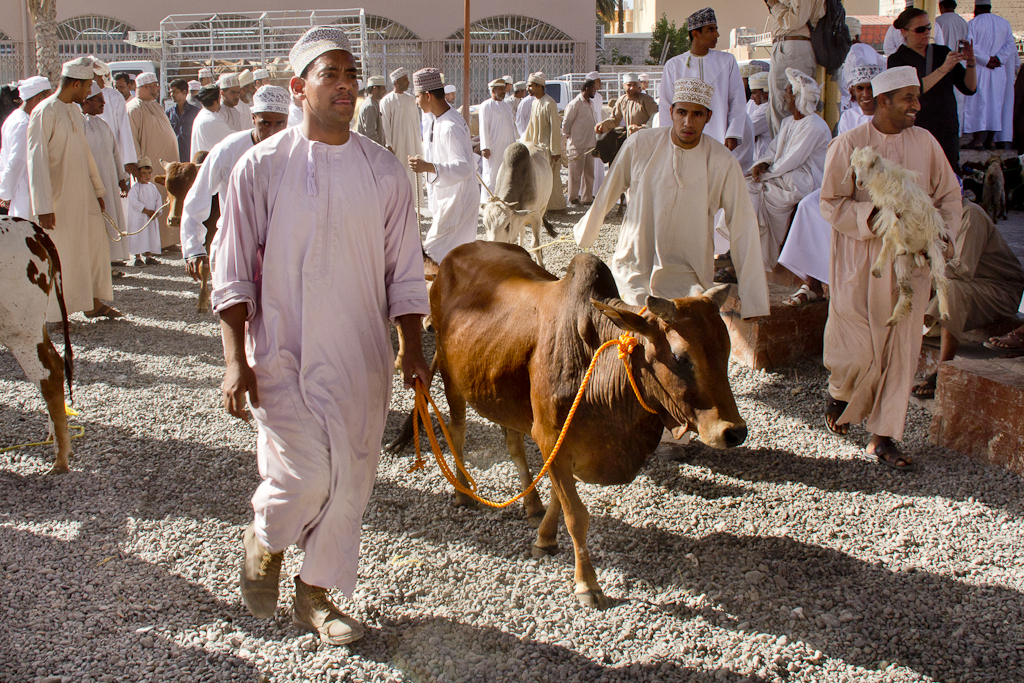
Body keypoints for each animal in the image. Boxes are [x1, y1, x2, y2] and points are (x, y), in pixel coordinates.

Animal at [393, 241, 745, 610]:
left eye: (726, 350)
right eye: (680, 356)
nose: (734, 431)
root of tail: (454, 254)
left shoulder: (559, 441)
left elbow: (558, 498)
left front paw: (544, 537)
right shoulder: (550, 437)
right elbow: (576, 515)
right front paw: (587, 584)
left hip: (501, 391)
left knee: (514, 445)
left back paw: (531, 505)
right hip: (452, 379)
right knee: (458, 434)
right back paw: (463, 492)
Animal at [847, 145, 950, 327]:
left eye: (872, 164)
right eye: (854, 167)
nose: (859, 183)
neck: (887, 184)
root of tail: (918, 252)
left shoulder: (907, 214)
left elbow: (894, 231)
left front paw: (900, 246)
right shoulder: (889, 211)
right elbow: (889, 236)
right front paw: (878, 267)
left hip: (934, 249)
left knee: (941, 281)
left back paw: (944, 312)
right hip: (902, 264)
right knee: (907, 290)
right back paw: (893, 319)